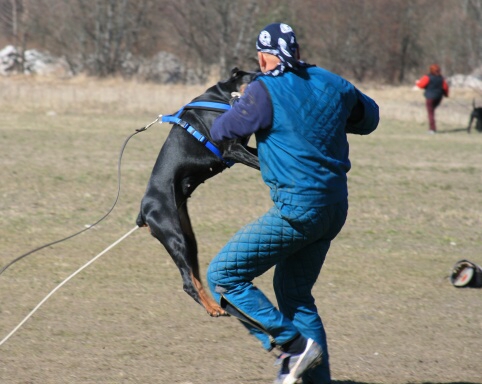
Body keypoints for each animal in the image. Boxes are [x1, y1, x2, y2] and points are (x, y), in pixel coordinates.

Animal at [136, 67, 260, 316]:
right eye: (255, 78)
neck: (223, 99)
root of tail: (144, 211)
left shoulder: (243, 146)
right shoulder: (232, 148)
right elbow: (259, 162)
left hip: (188, 239)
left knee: (195, 277)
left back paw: (214, 306)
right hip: (173, 236)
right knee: (187, 283)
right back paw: (213, 309)